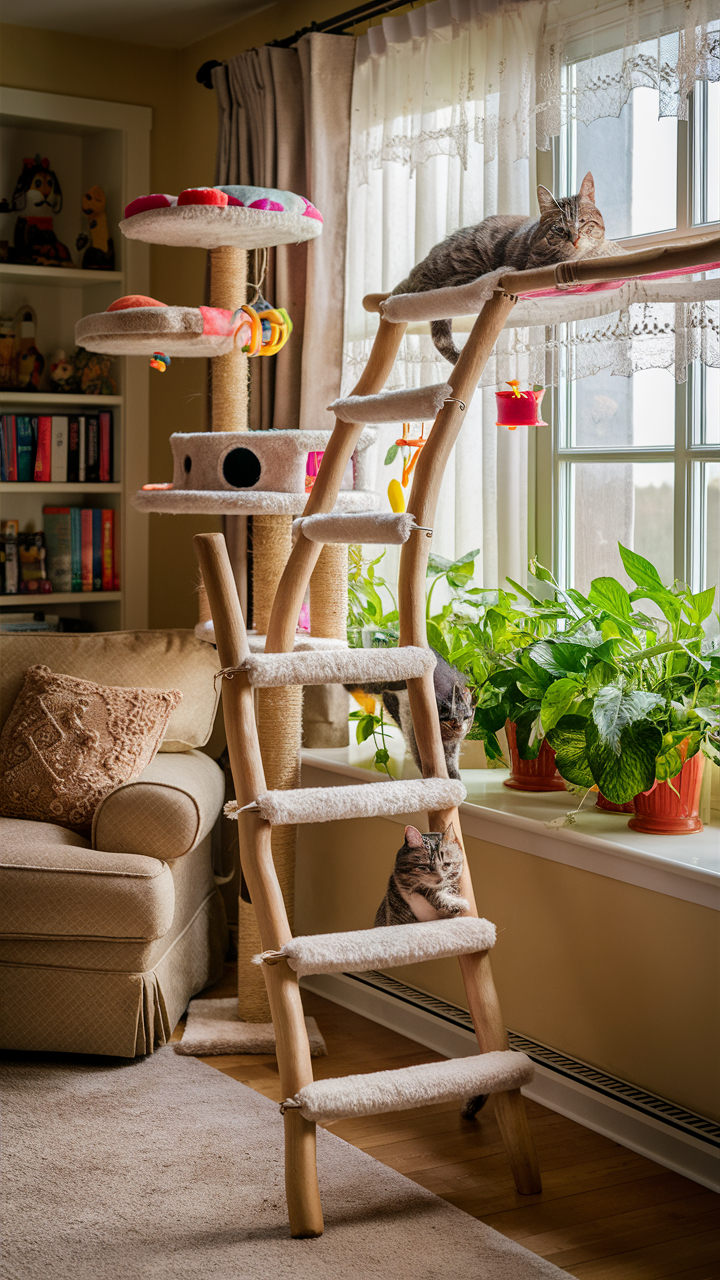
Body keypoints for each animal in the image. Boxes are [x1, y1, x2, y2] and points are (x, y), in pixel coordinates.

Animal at [345, 650, 474, 778]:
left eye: (466, 717)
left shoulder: (453, 748)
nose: (459, 726)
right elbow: (424, 763)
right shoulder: (416, 739)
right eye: (449, 718)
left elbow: (453, 767)